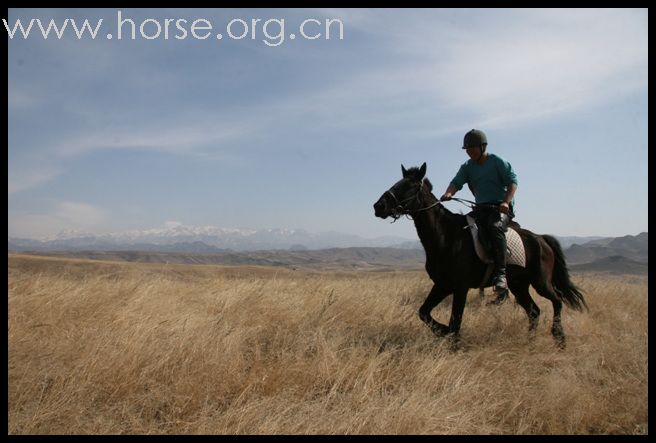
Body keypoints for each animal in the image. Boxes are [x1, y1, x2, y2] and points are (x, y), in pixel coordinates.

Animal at [374, 164, 588, 350]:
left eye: (408, 186)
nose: (378, 206)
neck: (446, 235)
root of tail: (541, 239)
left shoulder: (460, 287)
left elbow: (455, 321)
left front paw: (452, 343)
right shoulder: (442, 285)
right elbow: (424, 312)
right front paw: (442, 331)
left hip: (540, 282)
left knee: (557, 300)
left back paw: (559, 338)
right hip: (519, 285)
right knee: (534, 311)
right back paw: (530, 341)